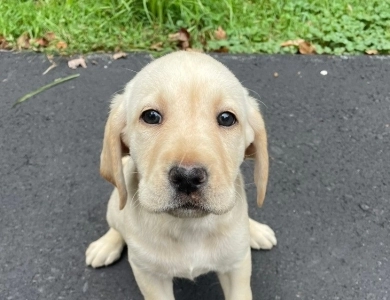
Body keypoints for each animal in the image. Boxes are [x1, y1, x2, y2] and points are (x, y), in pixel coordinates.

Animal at [85, 52, 278, 300]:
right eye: (151, 116)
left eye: (227, 118)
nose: (187, 177)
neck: (189, 227)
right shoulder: (149, 276)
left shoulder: (237, 268)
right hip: (114, 207)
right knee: (117, 225)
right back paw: (106, 245)